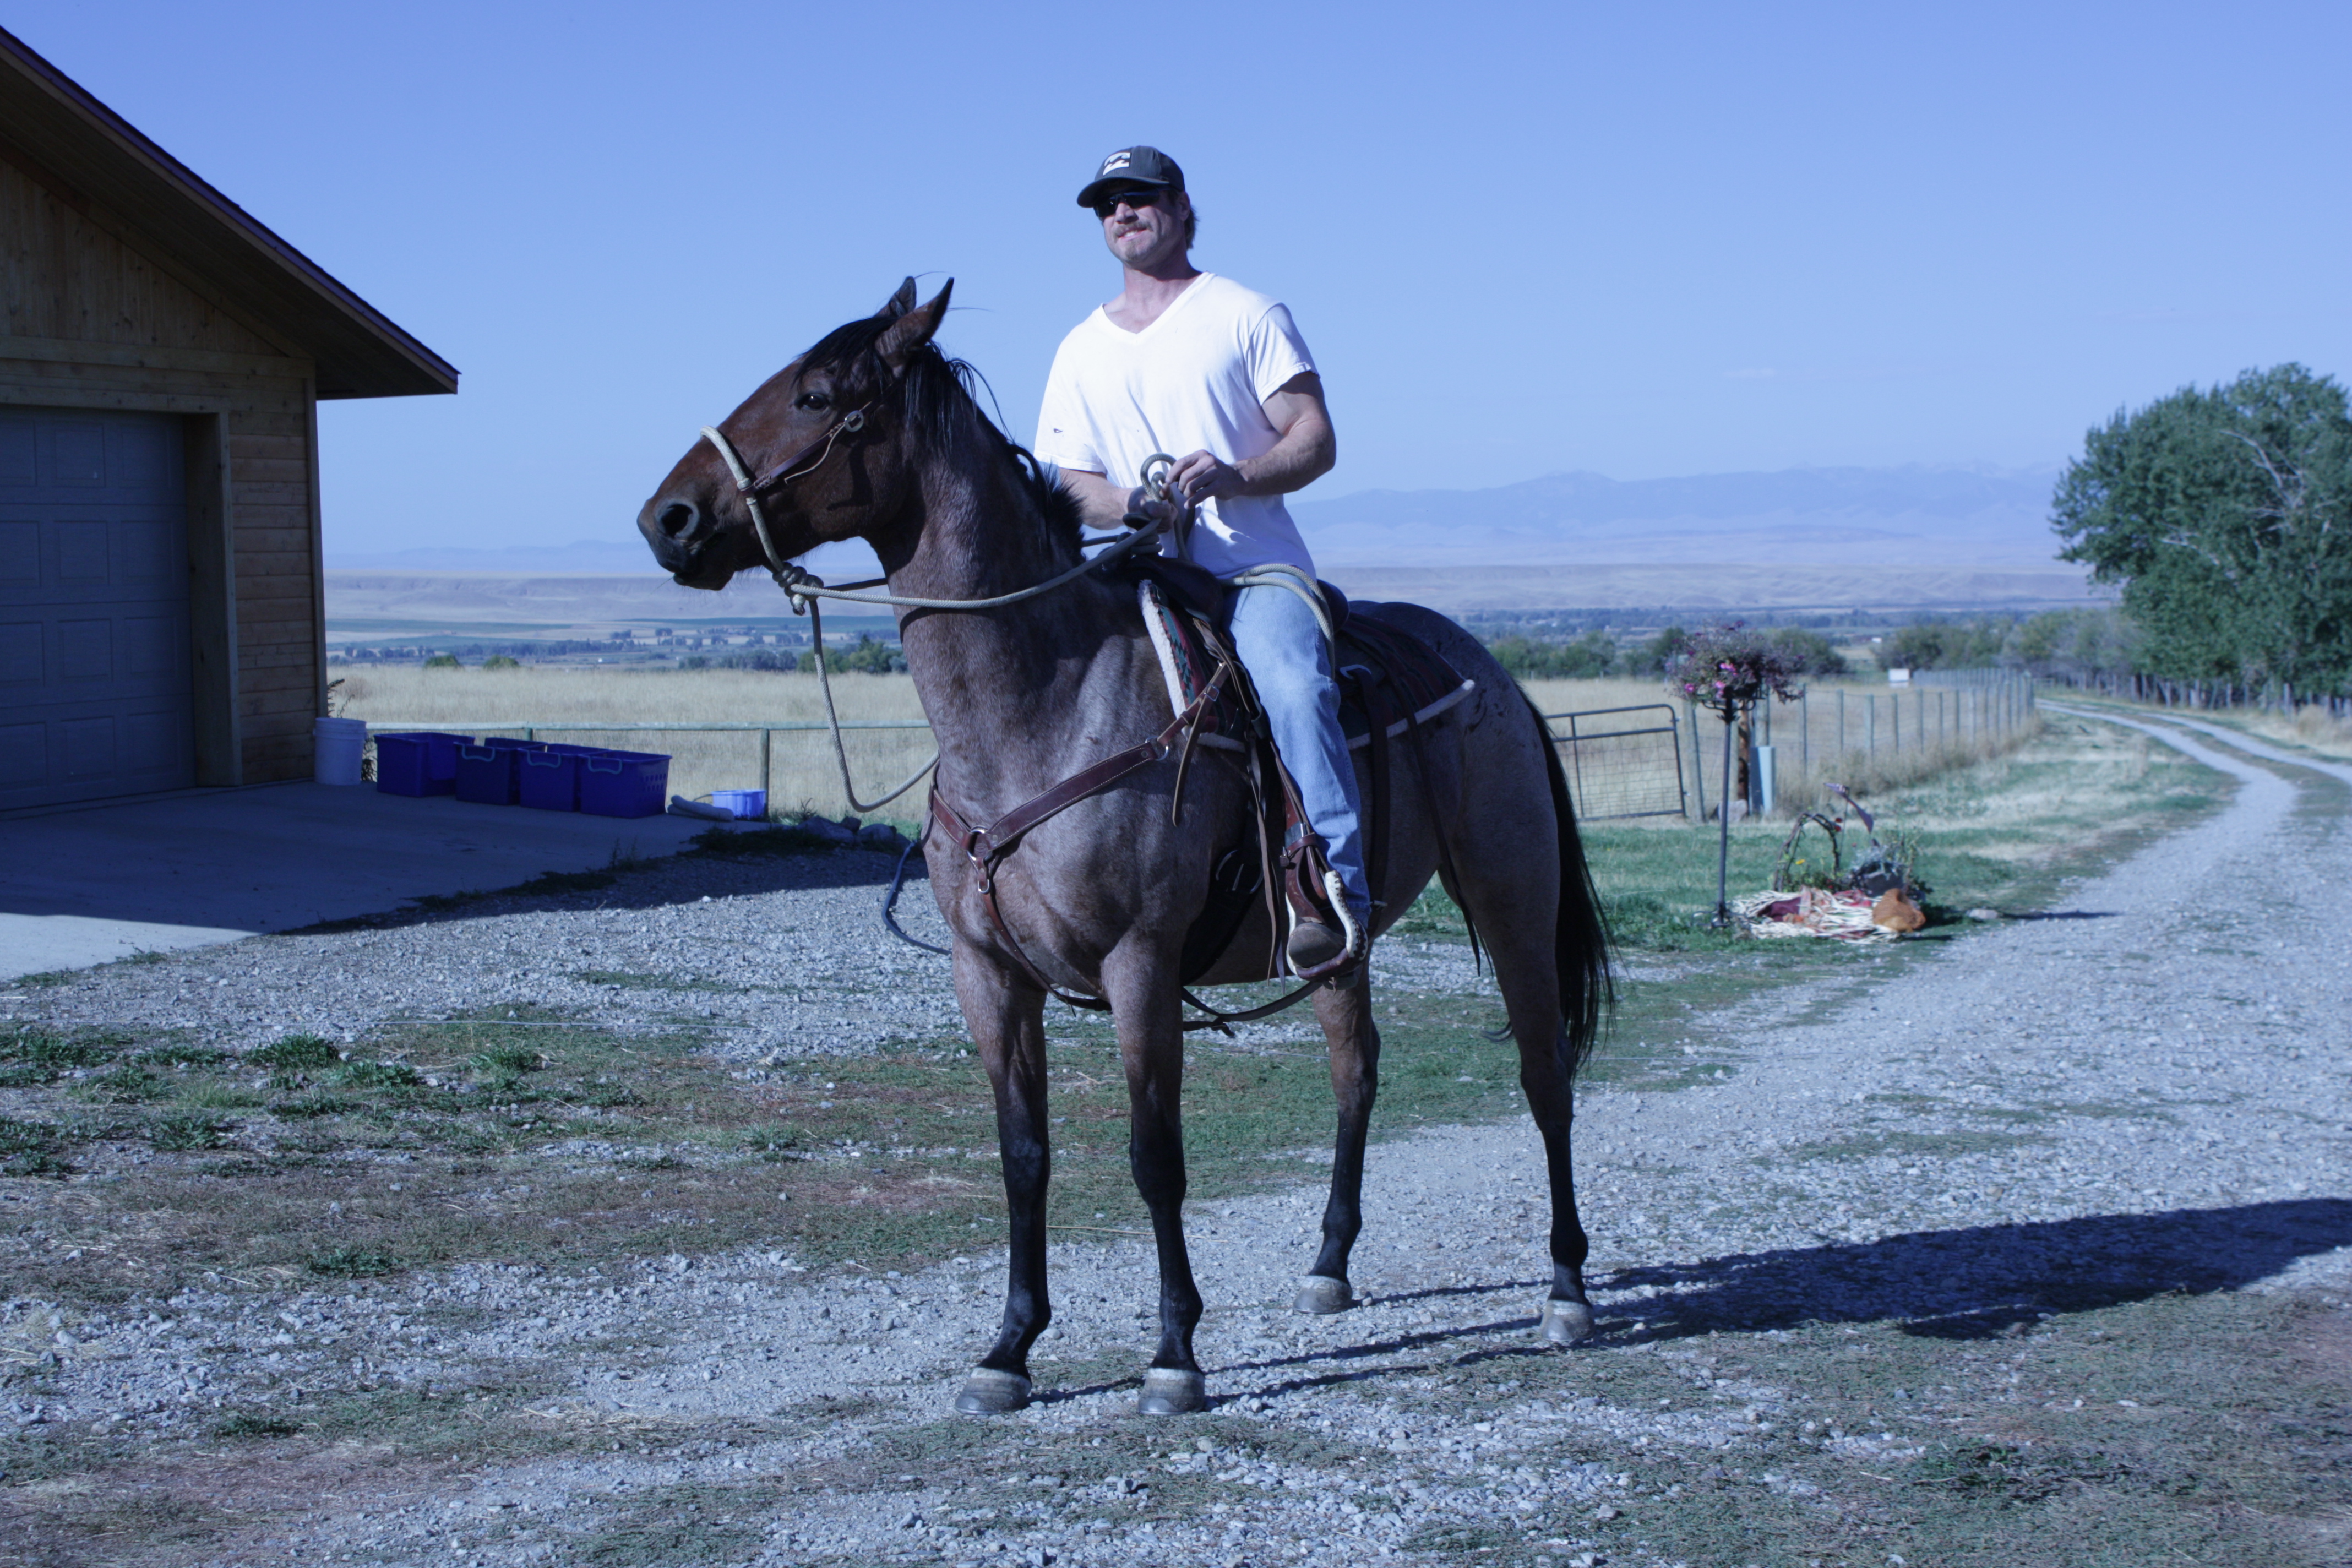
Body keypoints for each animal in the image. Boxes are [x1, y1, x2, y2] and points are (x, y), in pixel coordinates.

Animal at [635, 282, 1609, 1419]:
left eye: (818, 394)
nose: (668, 518)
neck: (1044, 705)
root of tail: (1495, 676)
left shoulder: (1139, 964)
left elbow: (1155, 1156)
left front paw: (1174, 1352)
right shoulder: (988, 973)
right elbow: (1024, 1153)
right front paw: (1009, 1347)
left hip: (1511, 895)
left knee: (1544, 1072)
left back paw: (1566, 1287)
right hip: (1339, 941)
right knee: (1355, 1070)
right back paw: (1329, 1265)